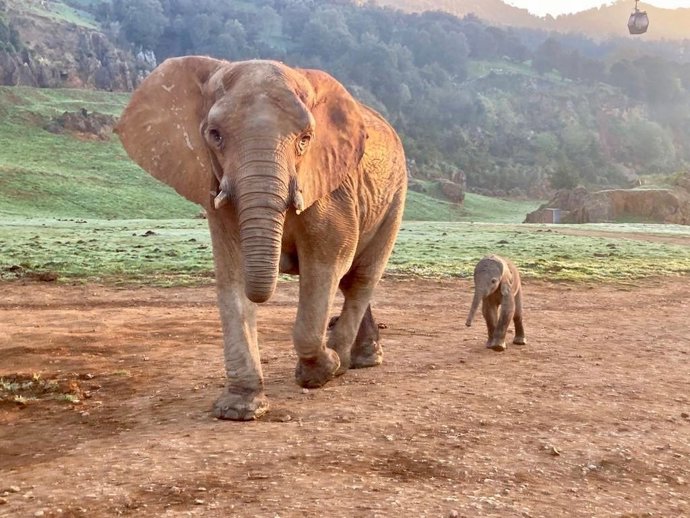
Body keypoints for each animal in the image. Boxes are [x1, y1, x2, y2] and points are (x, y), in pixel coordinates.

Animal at [115, 56, 407, 420]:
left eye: (305, 139)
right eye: (214, 135)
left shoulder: (331, 189)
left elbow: (325, 265)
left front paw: (321, 371)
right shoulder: (215, 189)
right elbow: (232, 275)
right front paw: (238, 410)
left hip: (395, 196)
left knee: (359, 278)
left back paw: (346, 363)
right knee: (350, 279)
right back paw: (356, 359)